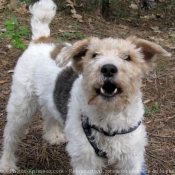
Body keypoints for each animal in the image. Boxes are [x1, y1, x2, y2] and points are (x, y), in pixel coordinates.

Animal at [0, 0, 171, 174]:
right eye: (94, 55)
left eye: (127, 57)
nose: (108, 68)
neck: (109, 118)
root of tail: (41, 39)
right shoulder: (86, 160)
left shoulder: (131, 160)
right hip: (21, 106)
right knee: (10, 136)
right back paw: (7, 164)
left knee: (49, 113)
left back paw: (53, 135)